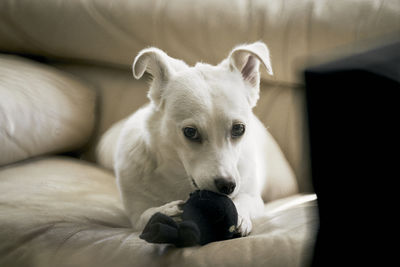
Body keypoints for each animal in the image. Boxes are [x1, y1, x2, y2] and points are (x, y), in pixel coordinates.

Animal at [96, 42, 296, 237]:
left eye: (239, 129)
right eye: (190, 132)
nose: (227, 186)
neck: (179, 177)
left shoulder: (253, 197)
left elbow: (245, 200)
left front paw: (239, 214)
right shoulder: (136, 214)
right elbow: (146, 214)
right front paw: (165, 211)